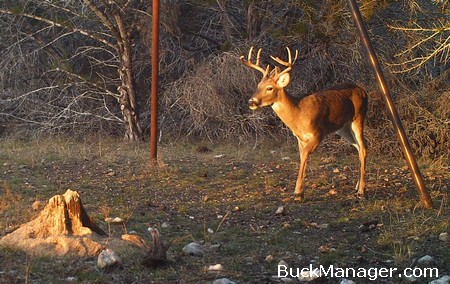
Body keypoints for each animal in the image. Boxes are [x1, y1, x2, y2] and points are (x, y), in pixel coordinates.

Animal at [241, 47, 368, 202]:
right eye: (258, 86)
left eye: (269, 88)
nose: (251, 102)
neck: (298, 114)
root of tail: (363, 91)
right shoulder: (299, 138)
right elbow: (302, 156)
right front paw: (299, 192)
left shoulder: (318, 133)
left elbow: (305, 155)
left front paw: (298, 193)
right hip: (343, 128)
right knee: (358, 147)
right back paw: (357, 186)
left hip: (358, 117)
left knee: (363, 147)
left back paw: (361, 191)